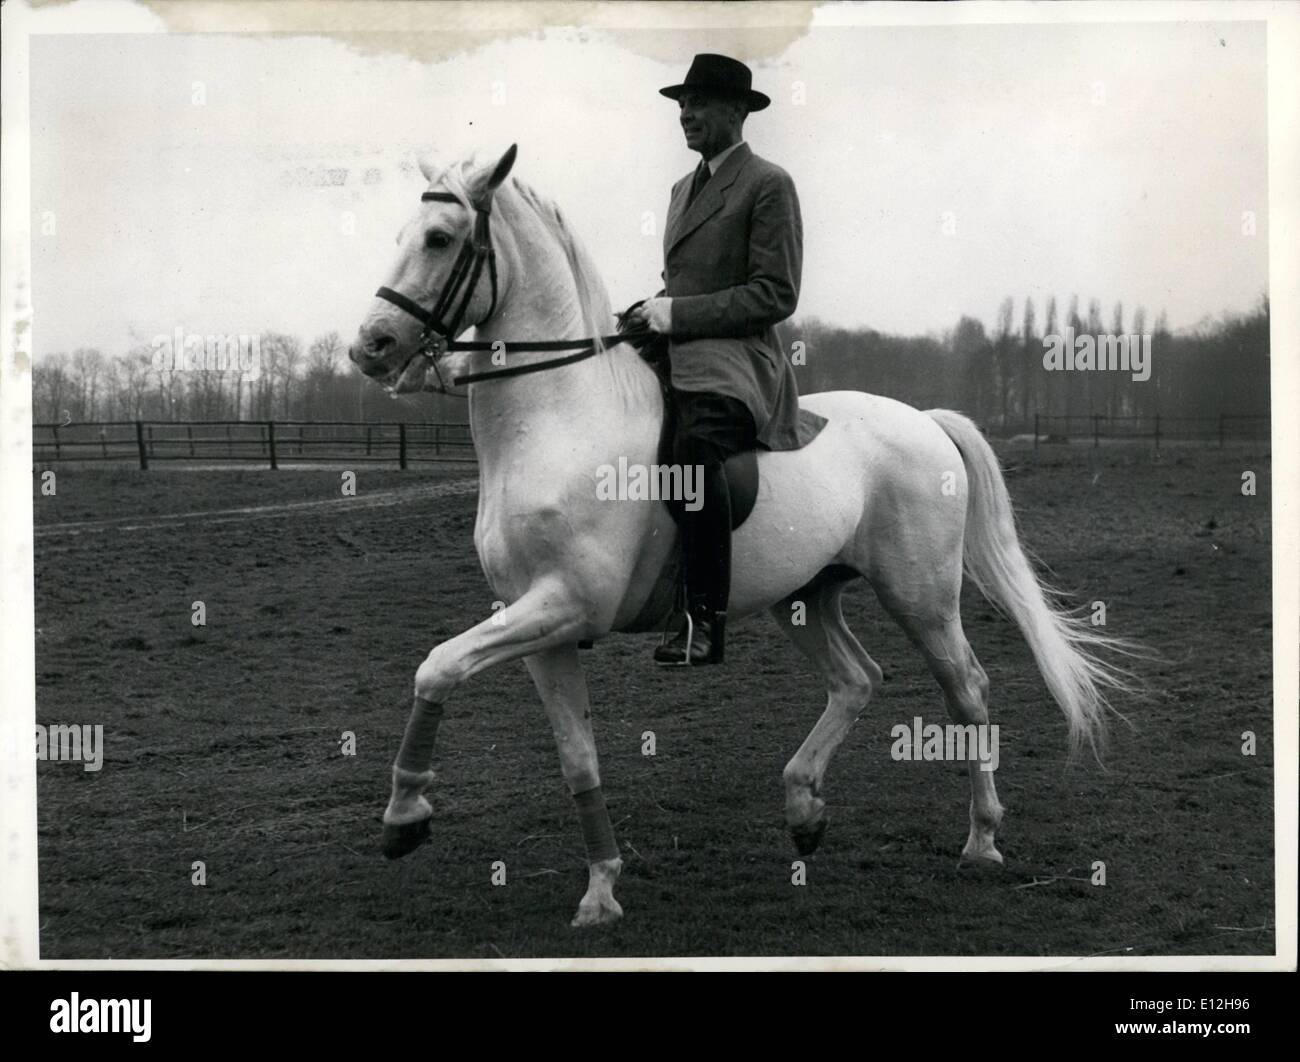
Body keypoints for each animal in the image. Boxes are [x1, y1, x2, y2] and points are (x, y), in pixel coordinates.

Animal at [347, 144, 1136, 928]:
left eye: (438, 239)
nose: (369, 348)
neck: (560, 419)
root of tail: (924, 419)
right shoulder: (539, 626)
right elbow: (575, 756)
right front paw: (601, 888)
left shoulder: (566, 605)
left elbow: (436, 666)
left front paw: (405, 813)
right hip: (807, 595)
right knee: (856, 679)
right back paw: (803, 809)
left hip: (922, 596)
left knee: (965, 689)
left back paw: (981, 840)